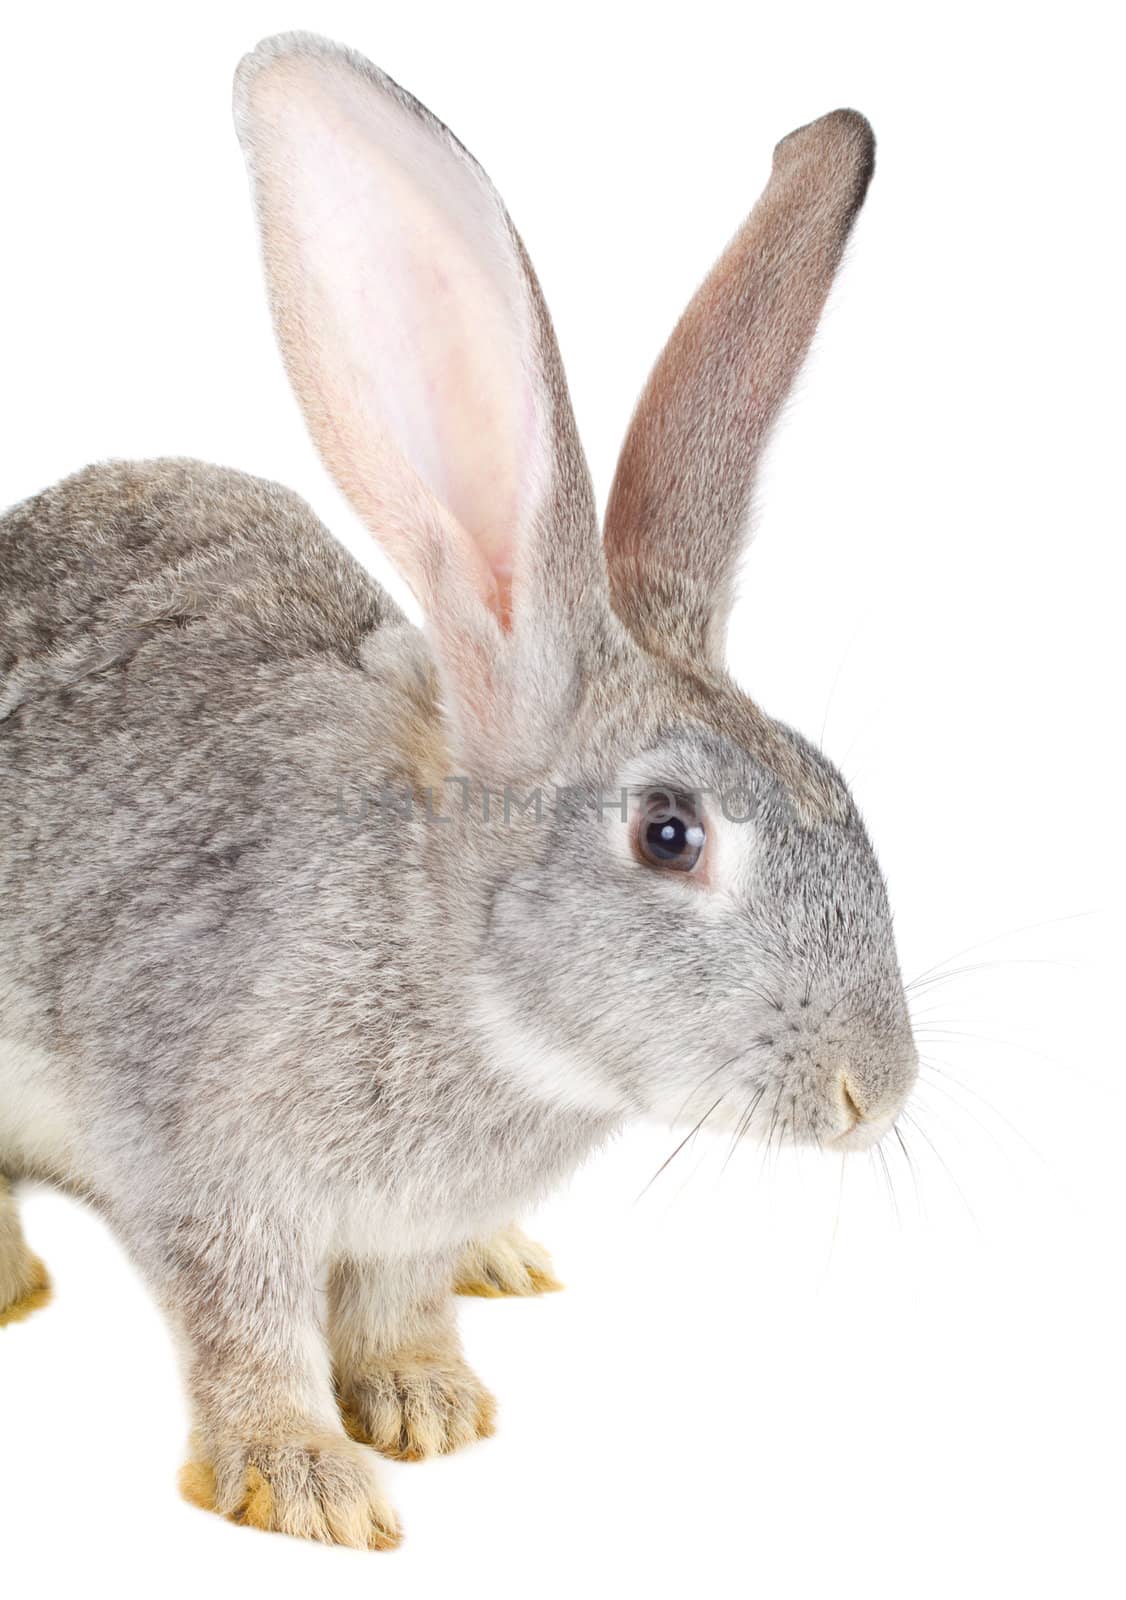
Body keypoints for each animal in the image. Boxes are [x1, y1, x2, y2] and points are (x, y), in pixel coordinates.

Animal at [2, 28, 914, 1548]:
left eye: (841, 792)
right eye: (669, 834)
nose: (876, 1091)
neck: (450, 955)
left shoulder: (396, 1228)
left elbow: (395, 1301)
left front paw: (426, 1403)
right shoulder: (202, 1172)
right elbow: (245, 1330)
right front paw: (305, 1481)